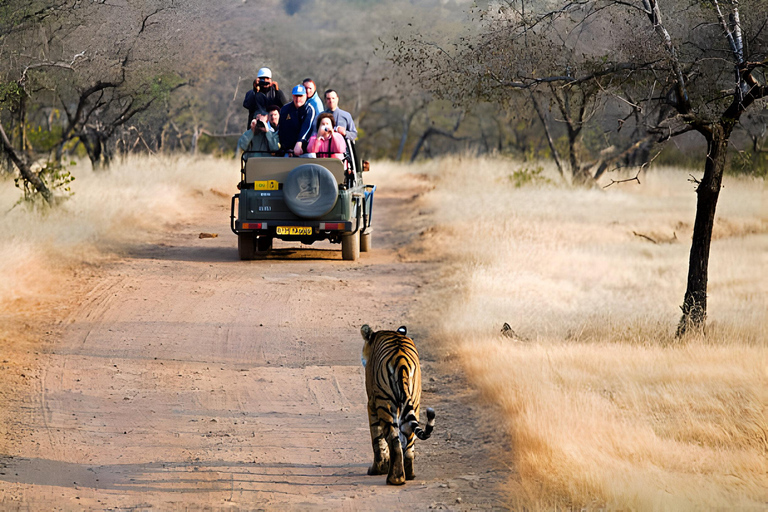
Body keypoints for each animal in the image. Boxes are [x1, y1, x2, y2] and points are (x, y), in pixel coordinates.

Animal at [358, 322, 432, 486]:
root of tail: (402, 361)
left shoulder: (371, 403)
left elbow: (377, 439)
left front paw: (377, 469)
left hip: (384, 403)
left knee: (394, 441)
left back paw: (395, 479)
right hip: (414, 402)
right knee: (408, 439)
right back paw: (408, 474)